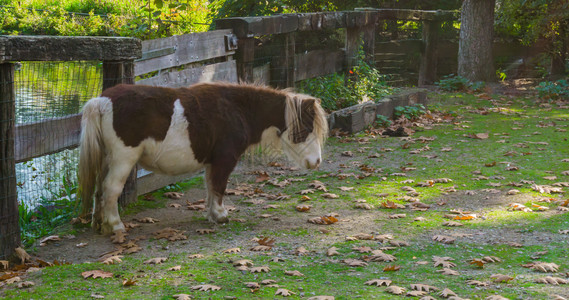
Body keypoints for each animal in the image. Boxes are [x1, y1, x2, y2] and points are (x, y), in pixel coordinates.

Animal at [77, 82, 326, 234]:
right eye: (307, 128)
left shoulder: (212, 162)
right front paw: (221, 215)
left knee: (99, 190)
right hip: (123, 160)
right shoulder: (225, 160)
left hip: (106, 159)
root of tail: (102, 101)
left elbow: (210, 187)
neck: (237, 109)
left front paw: (212, 215)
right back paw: (116, 226)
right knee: (111, 189)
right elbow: (219, 187)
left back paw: (99, 223)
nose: (316, 162)